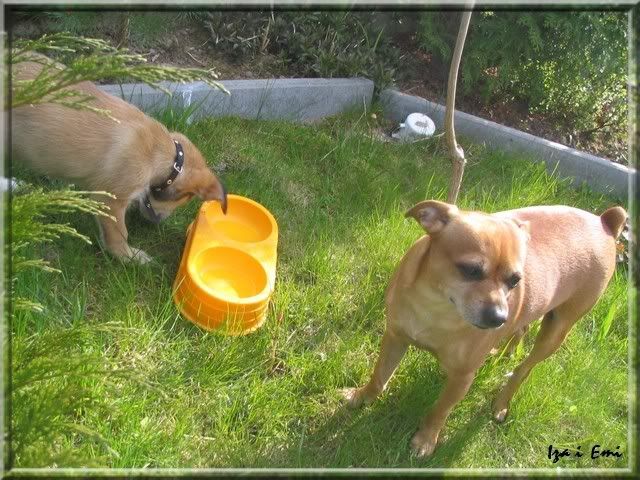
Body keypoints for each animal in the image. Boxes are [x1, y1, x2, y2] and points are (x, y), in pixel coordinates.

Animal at [11, 54, 227, 263]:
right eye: (184, 199)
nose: (159, 222)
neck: (160, 154)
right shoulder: (111, 198)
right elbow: (119, 233)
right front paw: (129, 257)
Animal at [344, 200, 627, 457]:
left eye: (515, 281)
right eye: (470, 270)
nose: (499, 316)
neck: (436, 306)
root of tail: (603, 221)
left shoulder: (462, 378)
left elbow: (440, 409)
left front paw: (426, 440)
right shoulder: (395, 337)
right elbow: (380, 376)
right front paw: (362, 397)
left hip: (556, 330)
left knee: (523, 369)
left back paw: (501, 402)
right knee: (521, 329)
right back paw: (504, 352)